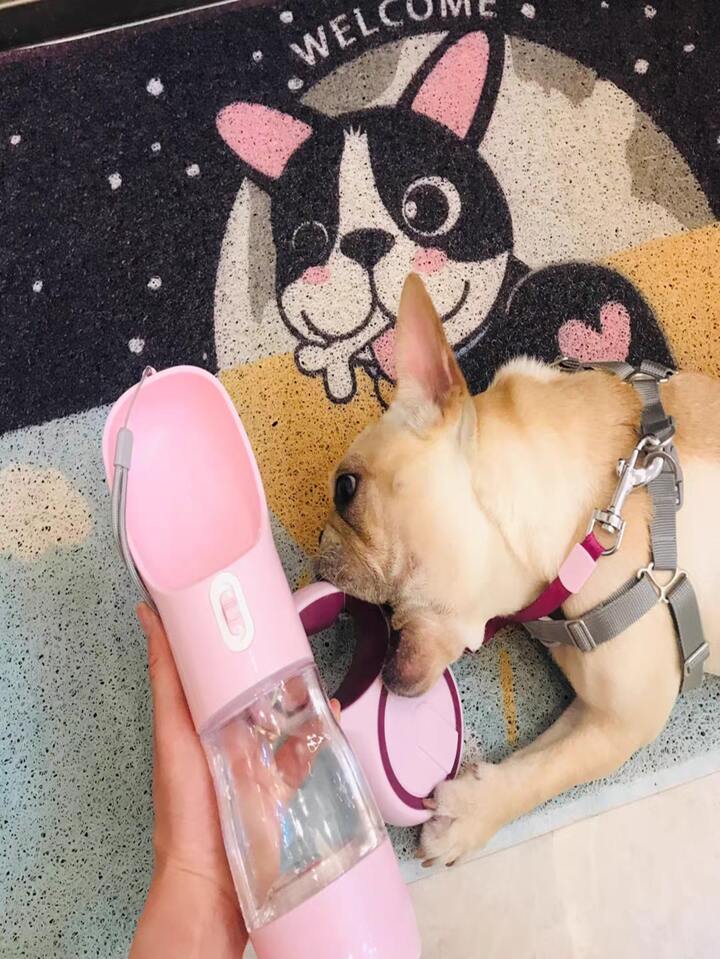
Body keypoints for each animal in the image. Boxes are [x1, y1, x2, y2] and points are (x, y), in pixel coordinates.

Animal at [317, 273, 720, 866]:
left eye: (346, 489)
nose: (317, 547)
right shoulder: (594, 708)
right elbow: (544, 754)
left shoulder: (630, 716)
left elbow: (552, 770)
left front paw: (467, 817)